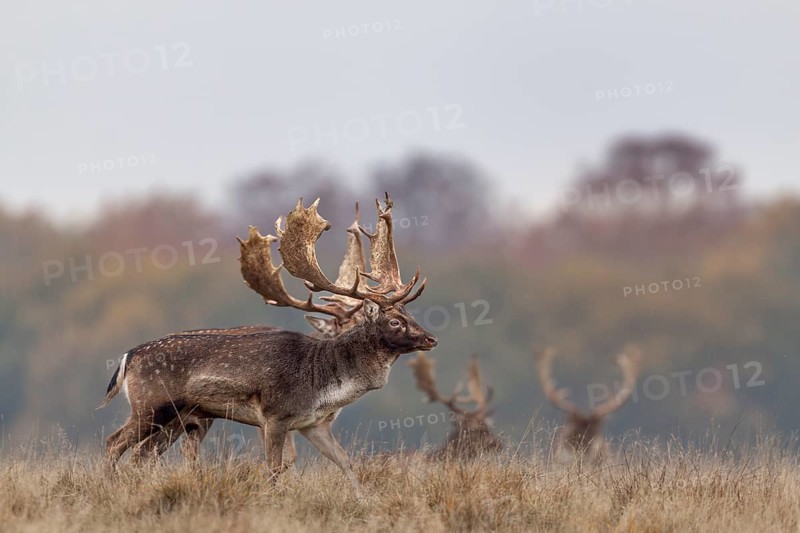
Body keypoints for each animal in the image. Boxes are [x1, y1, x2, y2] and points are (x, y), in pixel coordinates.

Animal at [100, 194, 437, 498]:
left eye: (408, 314)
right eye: (394, 321)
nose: (430, 339)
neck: (322, 380)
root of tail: (127, 358)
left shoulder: (313, 424)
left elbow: (345, 462)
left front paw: (364, 500)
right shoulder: (275, 415)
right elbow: (274, 467)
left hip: (177, 418)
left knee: (142, 454)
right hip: (151, 406)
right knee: (114, 442)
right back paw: (109, 488)